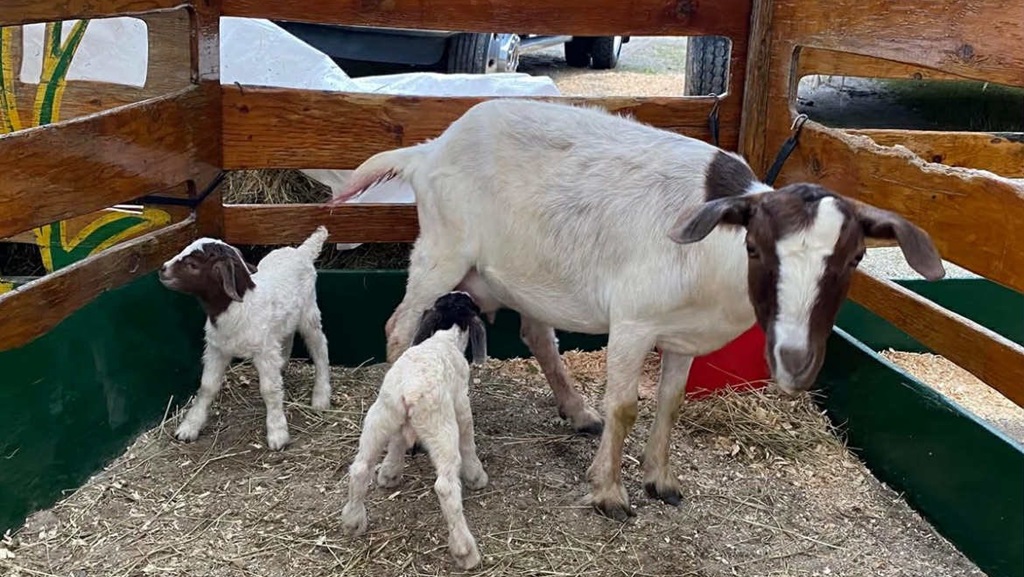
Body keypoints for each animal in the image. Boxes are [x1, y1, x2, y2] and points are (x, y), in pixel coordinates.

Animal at [158, 226, 332, 450]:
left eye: (192, 265)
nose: (162, 269)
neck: (240, 306)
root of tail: (301, 251)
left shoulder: (264, 351)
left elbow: (269, 390)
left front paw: (277, 433)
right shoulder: (216, 349)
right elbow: (207, 386)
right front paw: (189, 427)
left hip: (309, 313)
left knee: (320, 347)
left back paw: (321, 396)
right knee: (287, 338)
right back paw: (283, 366)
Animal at [326, 99, 945, 521]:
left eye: (855, 257)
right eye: (756, 247)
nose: (795, 359)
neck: (712, 257)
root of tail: (427, 150)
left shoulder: (680, 335)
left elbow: (669, 404)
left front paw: (660, 480)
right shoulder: (633, 321)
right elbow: (625, 406)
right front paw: (609, 492)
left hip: (517, 272)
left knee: (536, 333)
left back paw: (577, 411)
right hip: (443, 250)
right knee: (400, 326)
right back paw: (405, 437)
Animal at [340, 291, 489, 569]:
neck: (444, 338)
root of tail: (408, 392)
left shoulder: (399, 426)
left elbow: (398, 442)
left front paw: (389, 474)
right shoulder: (461, 406)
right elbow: (469, 442)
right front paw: (477, 477)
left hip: (380, 417)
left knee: (360, 467)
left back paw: (353, 521)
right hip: (441, 428)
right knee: (446, 486)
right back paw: (465, 551)